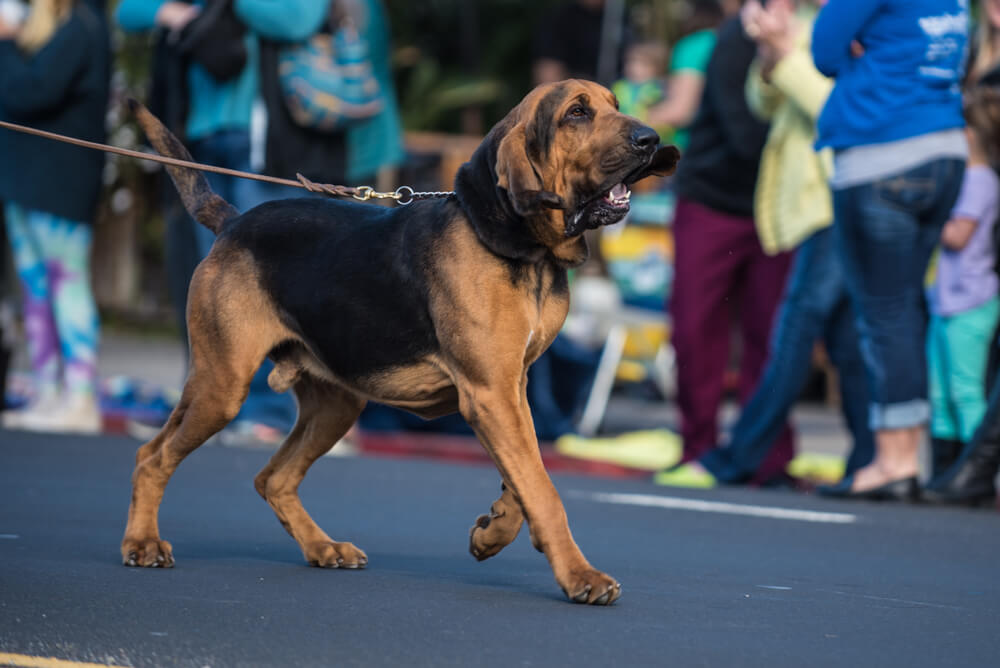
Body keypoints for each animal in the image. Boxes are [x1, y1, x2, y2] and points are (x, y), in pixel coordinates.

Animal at [121, 79, 676, 604]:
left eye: (614, 103)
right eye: (576, 113)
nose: (651, 140)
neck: (528, 251)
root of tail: (233, 221)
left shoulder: (510, 390)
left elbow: (525, 477)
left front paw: (492, 532)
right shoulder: (491, 394)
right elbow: (543, 489)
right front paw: (580, 576)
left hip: (336, 405)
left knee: (272, 478)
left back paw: (324, 548)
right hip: (223, 385)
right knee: (152, 455)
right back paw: (143, 543)